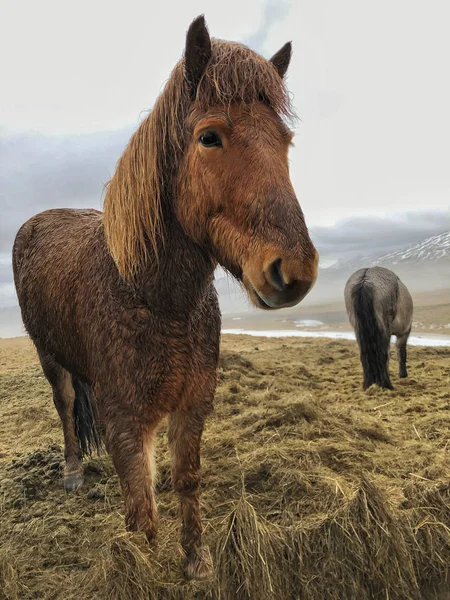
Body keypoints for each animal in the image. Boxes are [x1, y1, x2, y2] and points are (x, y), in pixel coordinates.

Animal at [12, 16, 318, 580]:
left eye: (285, 141)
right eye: (209, 137)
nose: (296, 271)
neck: (155, 300)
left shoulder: (192, 404)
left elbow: (186, 481)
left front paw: (196, 559)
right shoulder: (127, 421)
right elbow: (142, 512)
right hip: (49, 356)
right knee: (64, 406)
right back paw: (73, 472)